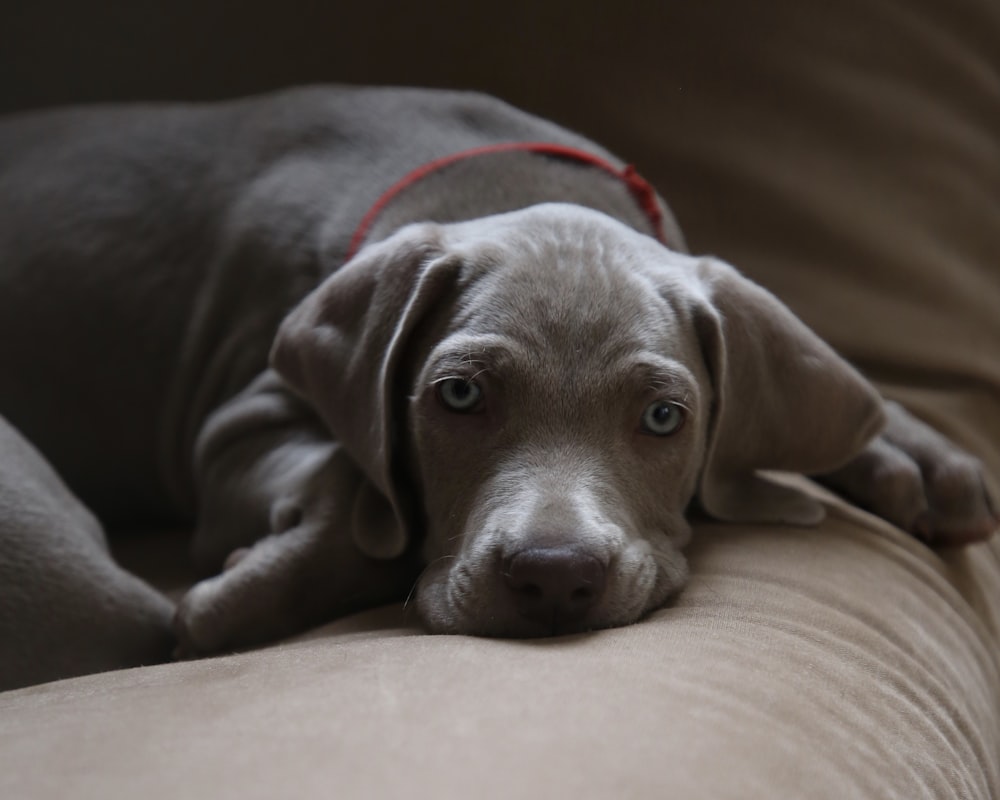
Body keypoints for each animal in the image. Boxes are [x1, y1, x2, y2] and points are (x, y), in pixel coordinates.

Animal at [0, 86, 996, 688]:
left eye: (664, 416)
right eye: (459, 398)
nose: (555, 578)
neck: (492, 177)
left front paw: (909, 452)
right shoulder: (237, 420)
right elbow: (353, 506)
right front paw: (231, 600)